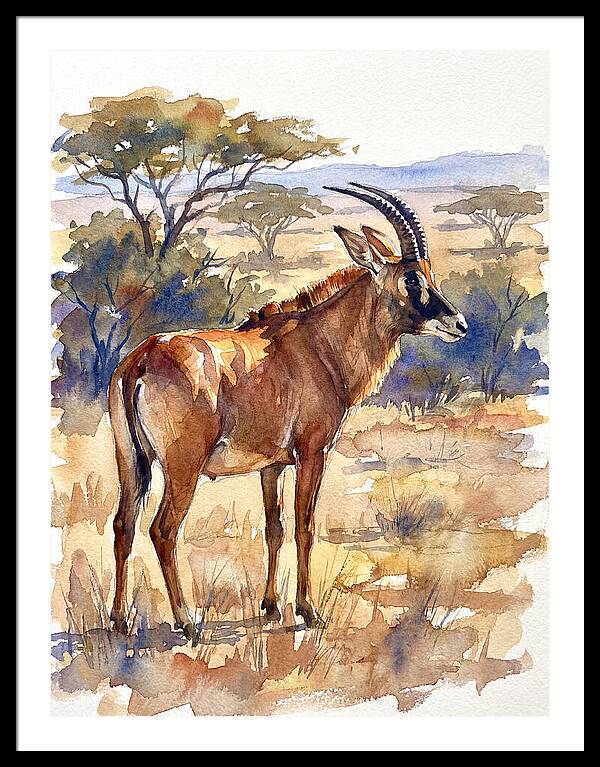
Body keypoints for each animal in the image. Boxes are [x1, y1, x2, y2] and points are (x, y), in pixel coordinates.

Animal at [108, 184, 467, 638]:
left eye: (428, 273)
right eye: (411, 277)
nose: (458, 324)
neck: (318, 343)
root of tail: (141, 359)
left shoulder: (272, 465)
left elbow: (274, 529)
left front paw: (270, 606)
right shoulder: (312, 453)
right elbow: (305, 527)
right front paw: (308, 611)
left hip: (130, 461)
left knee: (124, 524)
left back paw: (119, 620)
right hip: (182, 467)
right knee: (163, 530)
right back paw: (186, 622)